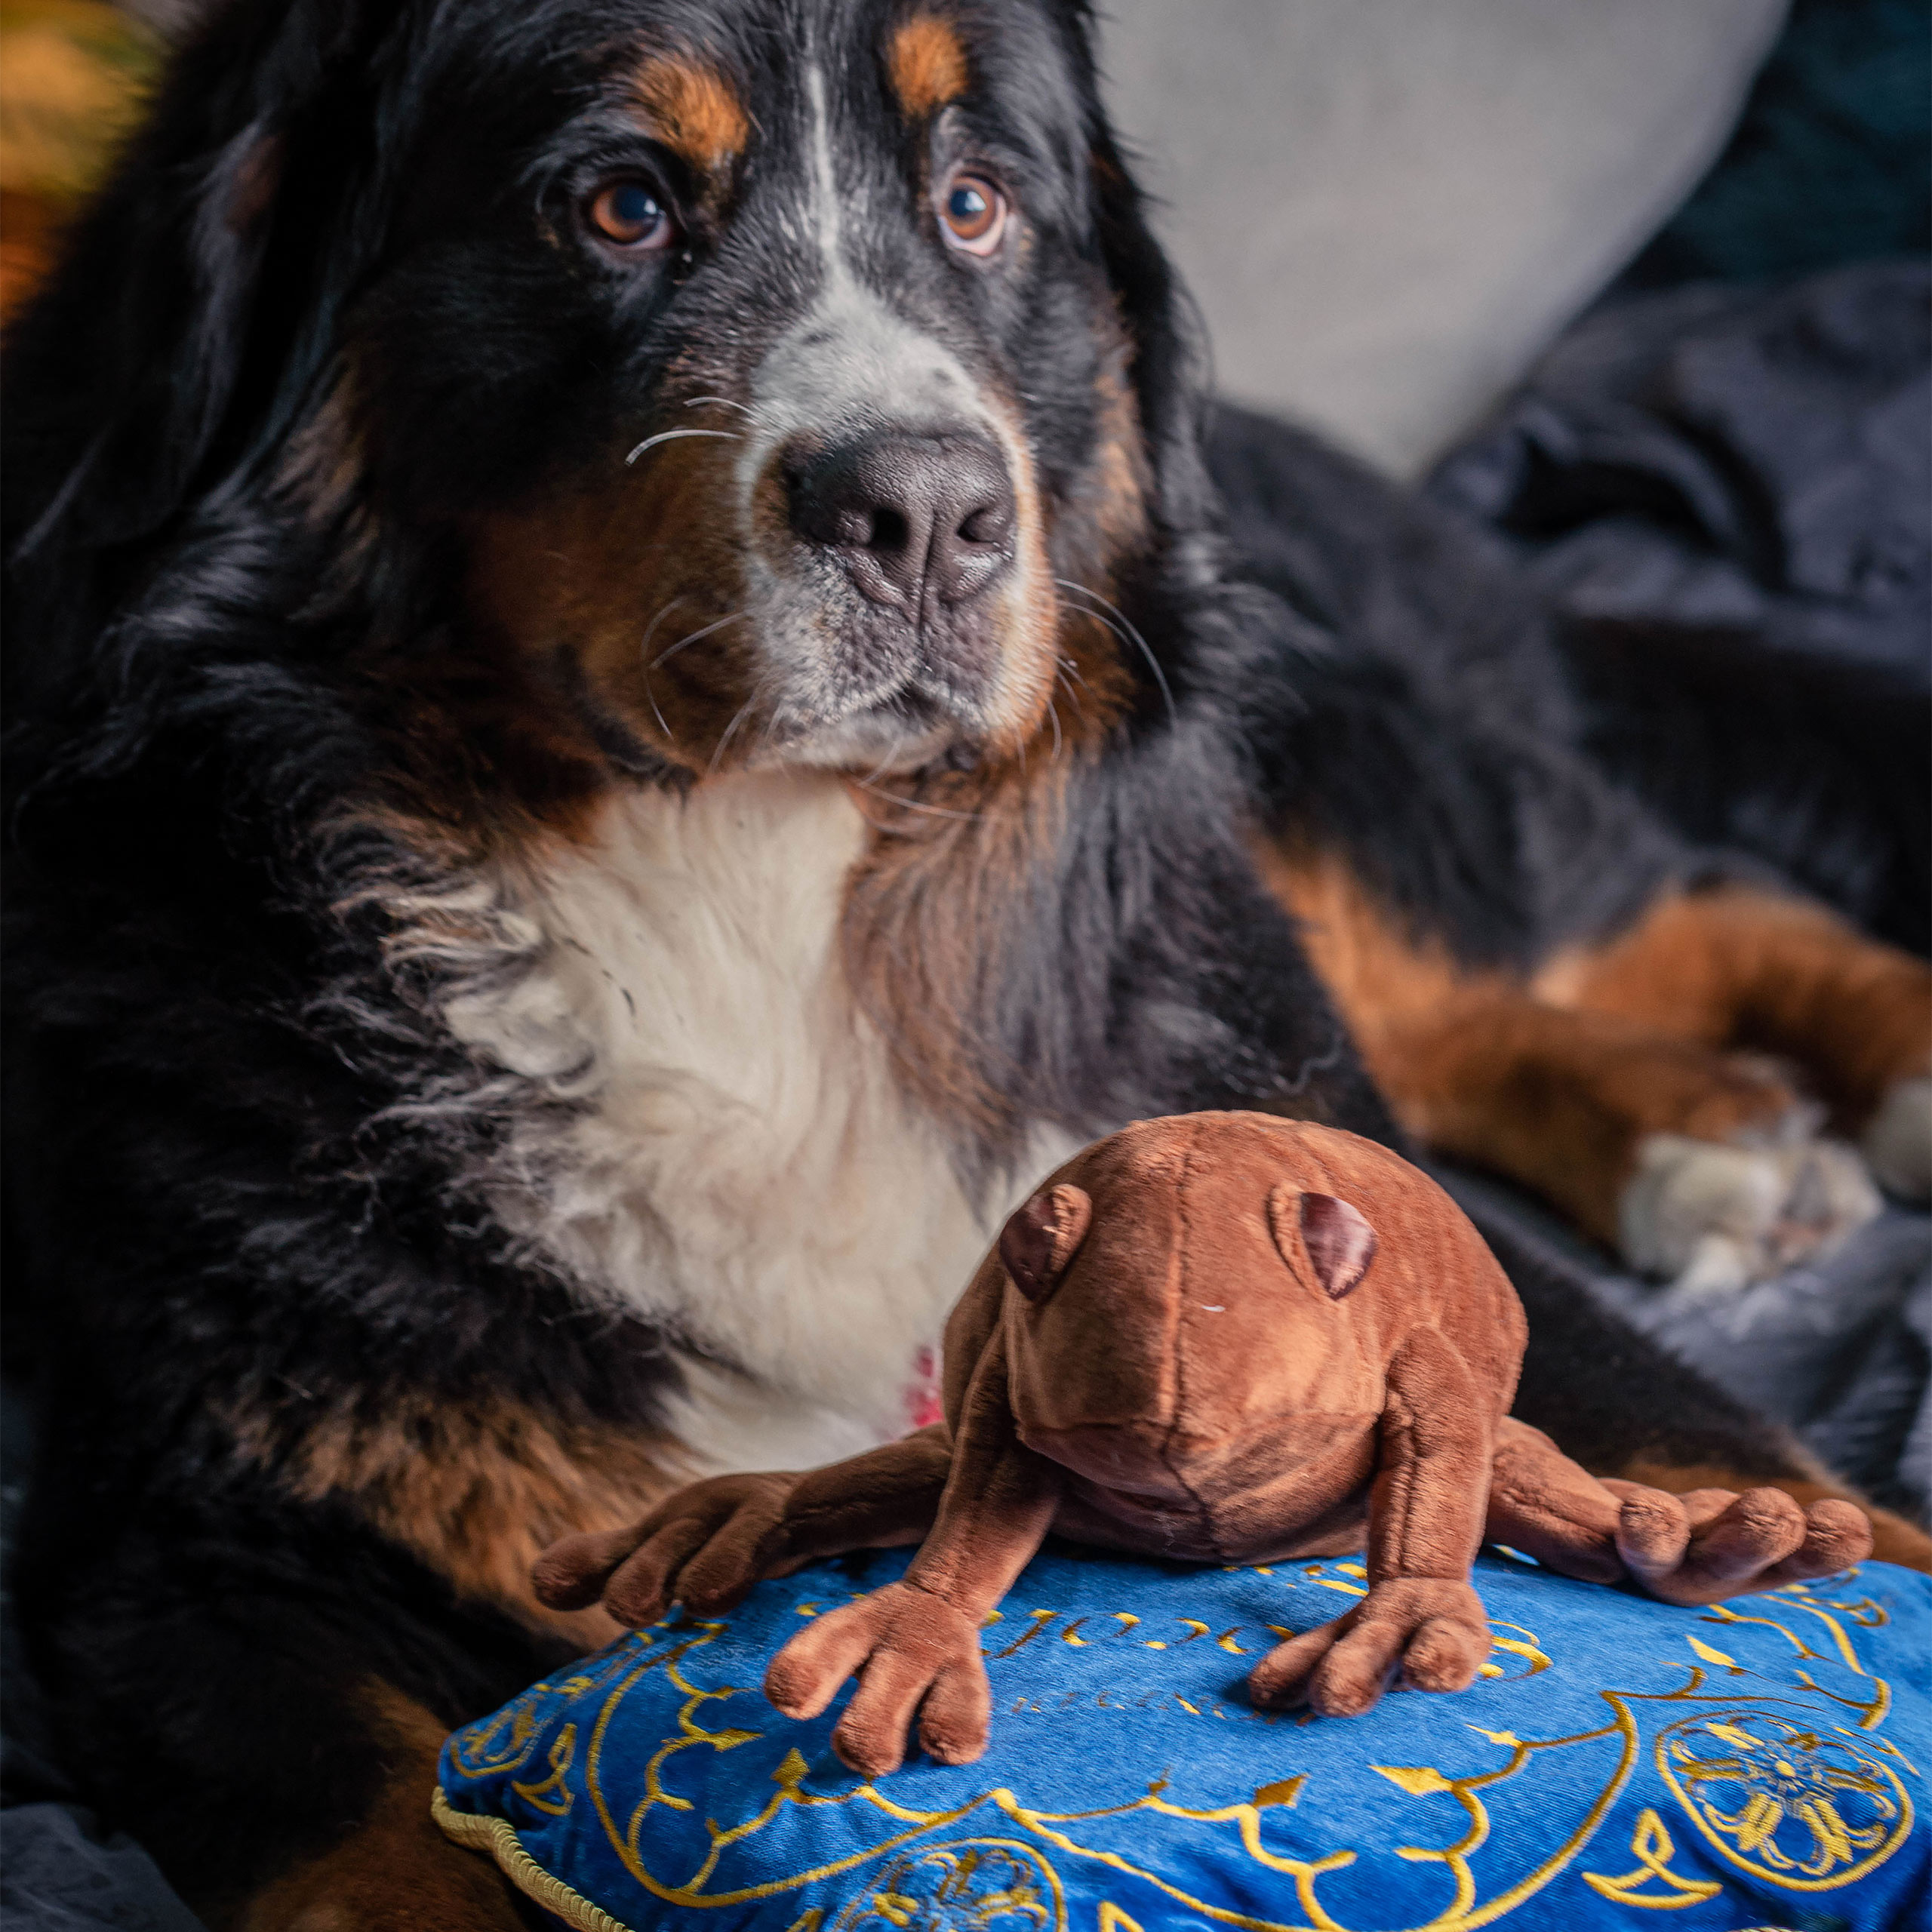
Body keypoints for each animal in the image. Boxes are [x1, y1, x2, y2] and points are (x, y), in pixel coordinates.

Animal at [4, 0, 1932, 1924]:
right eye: (620, 204)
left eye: (976, 202)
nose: (923, 511)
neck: (747, 905)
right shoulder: (191, 1555)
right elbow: (402, 1844)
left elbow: (1795, 1500)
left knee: (1617, 904)